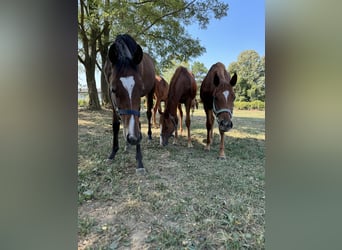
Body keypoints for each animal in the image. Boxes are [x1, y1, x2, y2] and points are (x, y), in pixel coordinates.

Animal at [103, 34, 156, 173]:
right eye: (114, 89)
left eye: (140, 88)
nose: (133, 138)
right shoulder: (111, 97)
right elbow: (116, 125)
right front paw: (112, 153)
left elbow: (138, 122)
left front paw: (139, 162)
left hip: (150, 93)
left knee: (149, 114)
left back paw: (148, 136)